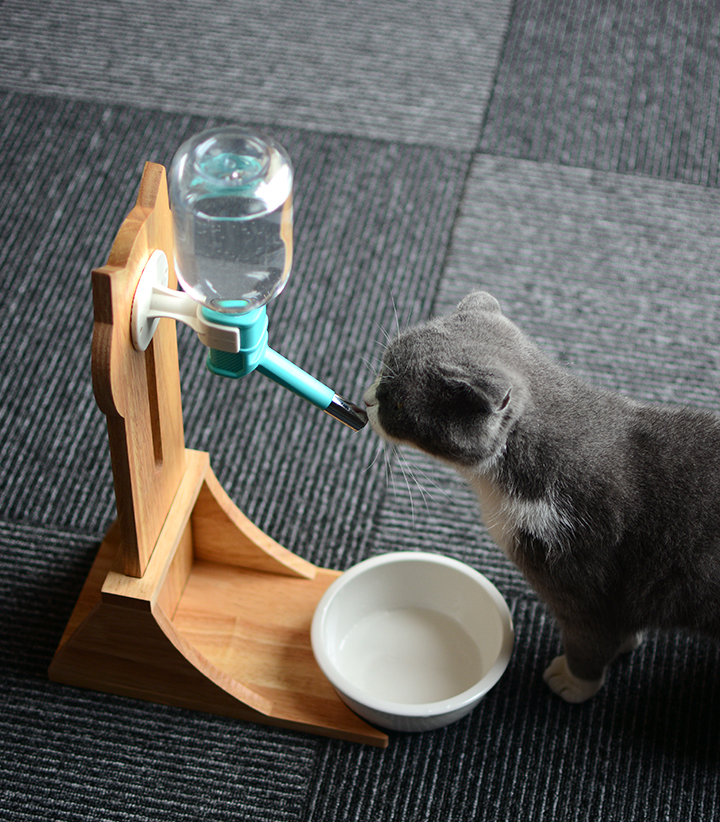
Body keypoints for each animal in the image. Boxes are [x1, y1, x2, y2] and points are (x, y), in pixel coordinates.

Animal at [362, 292, 720, 704]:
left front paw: (574, 682)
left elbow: (589, 640)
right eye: (381, 370)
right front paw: (628, 643)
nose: (366, 399)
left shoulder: (585, 584)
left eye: (398, 405)